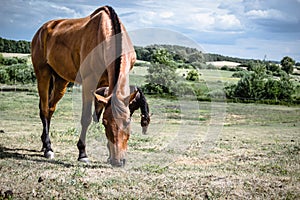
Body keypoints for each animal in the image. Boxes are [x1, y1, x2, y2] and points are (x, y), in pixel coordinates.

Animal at [31, 5, 137, 166]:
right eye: (105, 123)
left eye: (127, 121)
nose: (118, 161)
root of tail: (41, 30)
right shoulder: (89, 82)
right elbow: (86, 118)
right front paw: (82, 153)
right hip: (43, 75)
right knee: (44, 110)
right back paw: (48, 148)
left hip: (61, 81)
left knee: (50, 109)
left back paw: (44, 145)